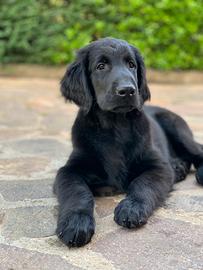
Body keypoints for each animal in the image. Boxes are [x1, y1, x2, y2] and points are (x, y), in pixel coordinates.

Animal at [54, 37, 203, 247]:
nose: (127, 90)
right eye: (101, 66)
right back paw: (179, 167)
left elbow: (142, 184)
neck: (115, 125)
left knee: (197, 151)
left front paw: (132, 208)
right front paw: (75, 222)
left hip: (175, 127)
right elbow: (76, 191)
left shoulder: (158, 167)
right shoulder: (69, 170)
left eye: (131, 65)